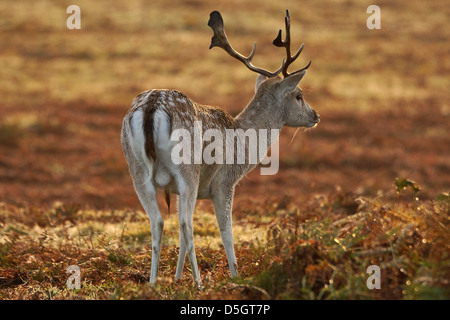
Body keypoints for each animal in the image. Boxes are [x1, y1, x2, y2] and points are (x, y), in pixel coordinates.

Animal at [120, 10, 320, 288]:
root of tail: (152, 107)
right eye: (299, 95)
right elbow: (227, 232)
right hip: (188, 169)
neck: (244, 142)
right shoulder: (225, 182)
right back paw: (199, 283)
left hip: (136, 168)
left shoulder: (177, 190)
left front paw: (177, 278)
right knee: (186, 223)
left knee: (158, 221)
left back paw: (152, 283)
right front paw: (236, 276)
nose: (316, 115)